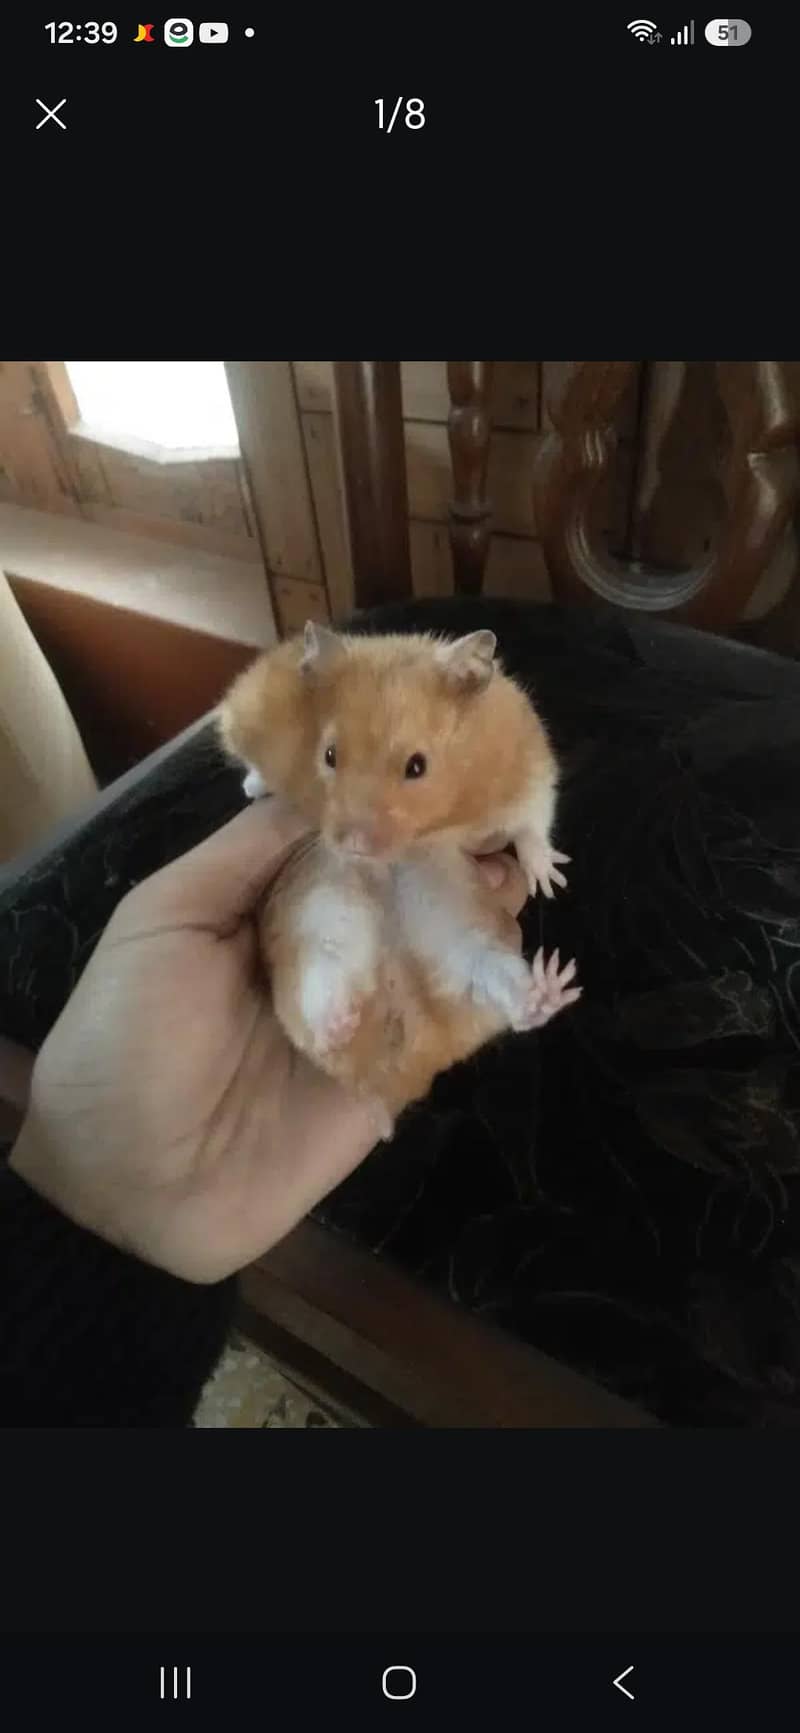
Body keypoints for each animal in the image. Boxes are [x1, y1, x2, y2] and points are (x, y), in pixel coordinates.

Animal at [218, 623, 580, 1134]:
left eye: (417, 765)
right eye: (329, 755)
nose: (354, 846)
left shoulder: (529, 766)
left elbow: (532, 823)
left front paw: (548, 880)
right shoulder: (247, 715)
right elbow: (253, 764)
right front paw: (255, 787)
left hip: (469, 958)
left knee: (508, 997)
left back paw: (548, 988)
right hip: (321, 936)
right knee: (322, 1013)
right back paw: (341, 1018)